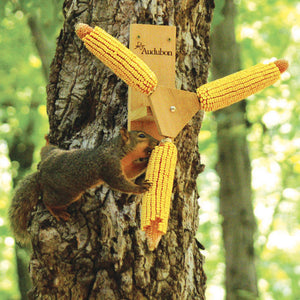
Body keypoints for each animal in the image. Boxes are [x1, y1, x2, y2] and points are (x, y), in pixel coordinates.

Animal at [8, 127, 158, 245]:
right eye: (141, 135)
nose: (157, 142)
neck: (118, 149)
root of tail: (41, 174)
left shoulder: (125, 166)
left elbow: (131, 172)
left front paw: (148, 160)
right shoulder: (109, 165)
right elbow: (119, 183)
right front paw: (140, 188)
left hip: (53, 153)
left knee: (46, 150)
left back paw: (47, 142)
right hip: (65, 194)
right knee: (47, 201)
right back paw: (57, 212)